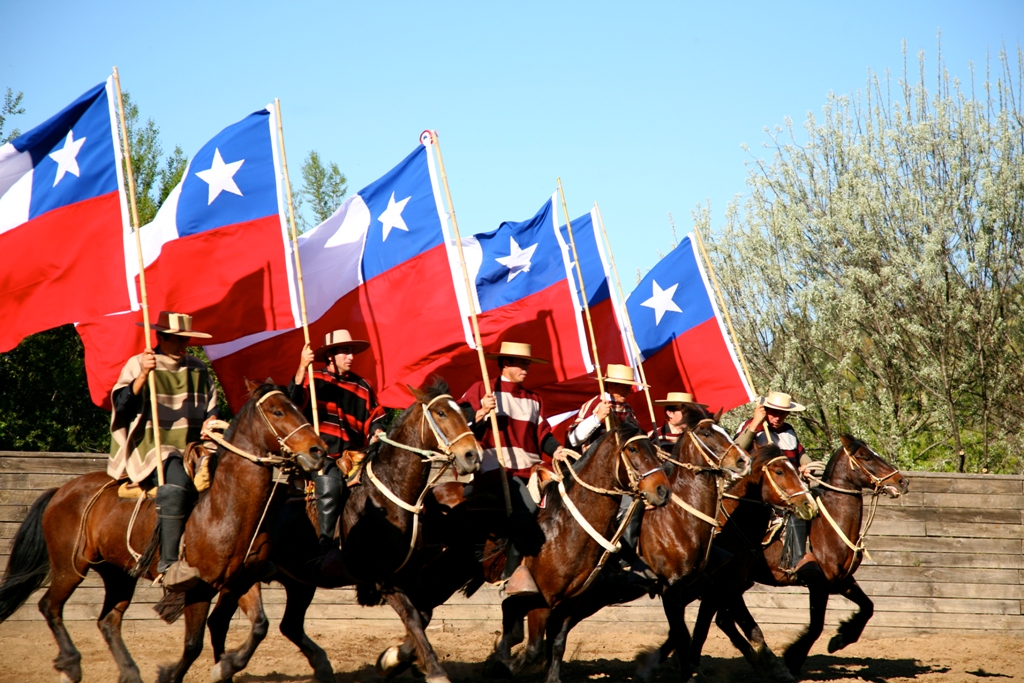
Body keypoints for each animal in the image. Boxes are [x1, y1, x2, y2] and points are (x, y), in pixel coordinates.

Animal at [0, 382, 323, 683]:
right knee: (50, 606)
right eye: (278, 411)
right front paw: (173, 673)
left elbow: (259, 626)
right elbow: (193, 644)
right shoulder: (199, 588)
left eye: (298, 407)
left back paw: (129, 672)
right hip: (70, 567)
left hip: (118, 574)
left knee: (108, 621)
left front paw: (226, 666)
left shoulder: (241, 580)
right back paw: (70, 665)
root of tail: (60, 491)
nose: (317, 450)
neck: (224, 507)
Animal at [205, 378, 485, 683]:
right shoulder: (381, 577)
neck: (388, 493)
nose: (472, 455)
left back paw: (319, 665)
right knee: (220, 621)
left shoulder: (411, 573)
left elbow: (424, 614)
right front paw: (433, 670)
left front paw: (392, 659)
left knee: (289, 625)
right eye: (441, 413)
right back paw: (225, 667)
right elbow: (412, 616)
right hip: (242, 579)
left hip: (299, 582)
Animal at [684, 436, 909, 679]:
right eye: (865, 457)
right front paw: (793, 658)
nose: (902, 481)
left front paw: (841, 638)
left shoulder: (841, 581)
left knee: (720, 620)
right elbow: (816, 626)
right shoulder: (819, 584)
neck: (828, 526)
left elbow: (868, 607)